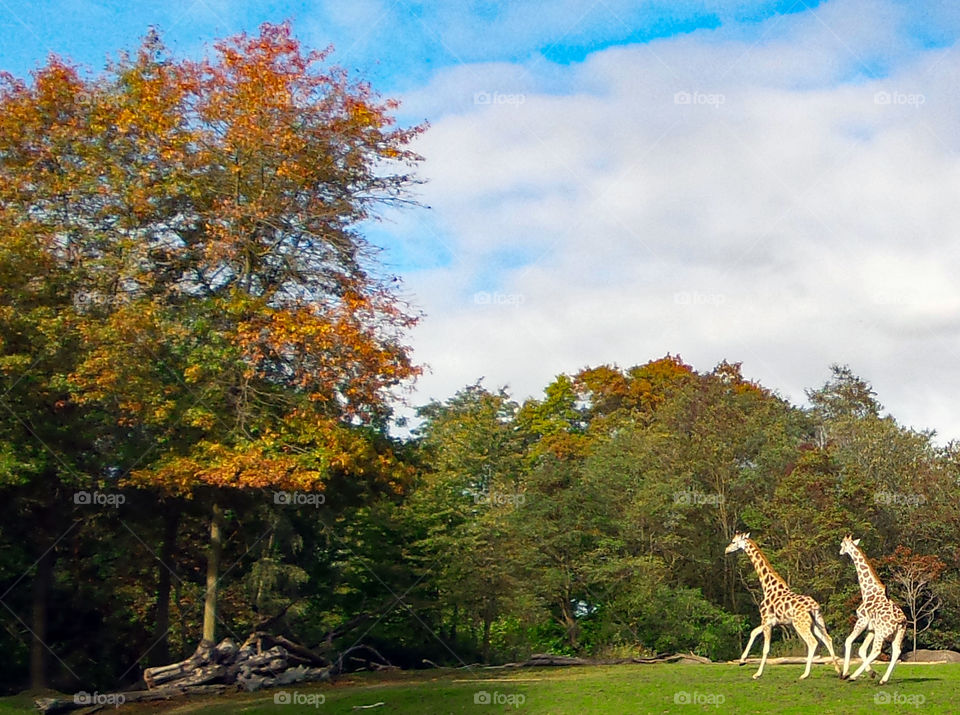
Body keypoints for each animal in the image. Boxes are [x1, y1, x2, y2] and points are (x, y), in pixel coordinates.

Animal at [725, 532, 841, 679]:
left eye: (734, 542)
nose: (726, 550)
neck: (767, 587)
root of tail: (813, 607)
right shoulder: (771, 621)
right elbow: (753, 632)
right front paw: (742, 660)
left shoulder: (767, 620)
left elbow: (765, 649)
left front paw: (757, 674)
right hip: (817, 623)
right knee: (827, 639)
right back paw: (839, 671)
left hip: (800, 624)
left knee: (812, 642)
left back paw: (805, 674)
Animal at [839, 535, 907, 684]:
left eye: (842, 544)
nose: (840, 552)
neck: (867, 590)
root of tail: (900, 620)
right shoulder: (871, 628)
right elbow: (861, 650)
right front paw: (872, 673)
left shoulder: (862, 620)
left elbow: (849, 641)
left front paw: (845, 673)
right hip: (898, 633)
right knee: (896, 651)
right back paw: (884, 679)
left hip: (882, 633)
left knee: (876, 651)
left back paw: (853, 676)